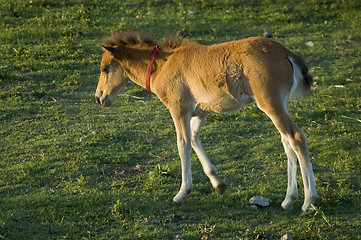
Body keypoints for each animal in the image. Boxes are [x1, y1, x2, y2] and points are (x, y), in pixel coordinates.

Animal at [95, 31, 318, 211]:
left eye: (105, 69)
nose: (99, 98)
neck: (164, 64)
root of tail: (286, 53)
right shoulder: (201, 112)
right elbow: (194, 139)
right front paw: (218, 183)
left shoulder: (179, 108)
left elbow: (183, 144)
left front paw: (182, 193)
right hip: (280, 104)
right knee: (287, 143)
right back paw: (289, 199)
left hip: (270, 104)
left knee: (296, 137)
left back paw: (309, 201)